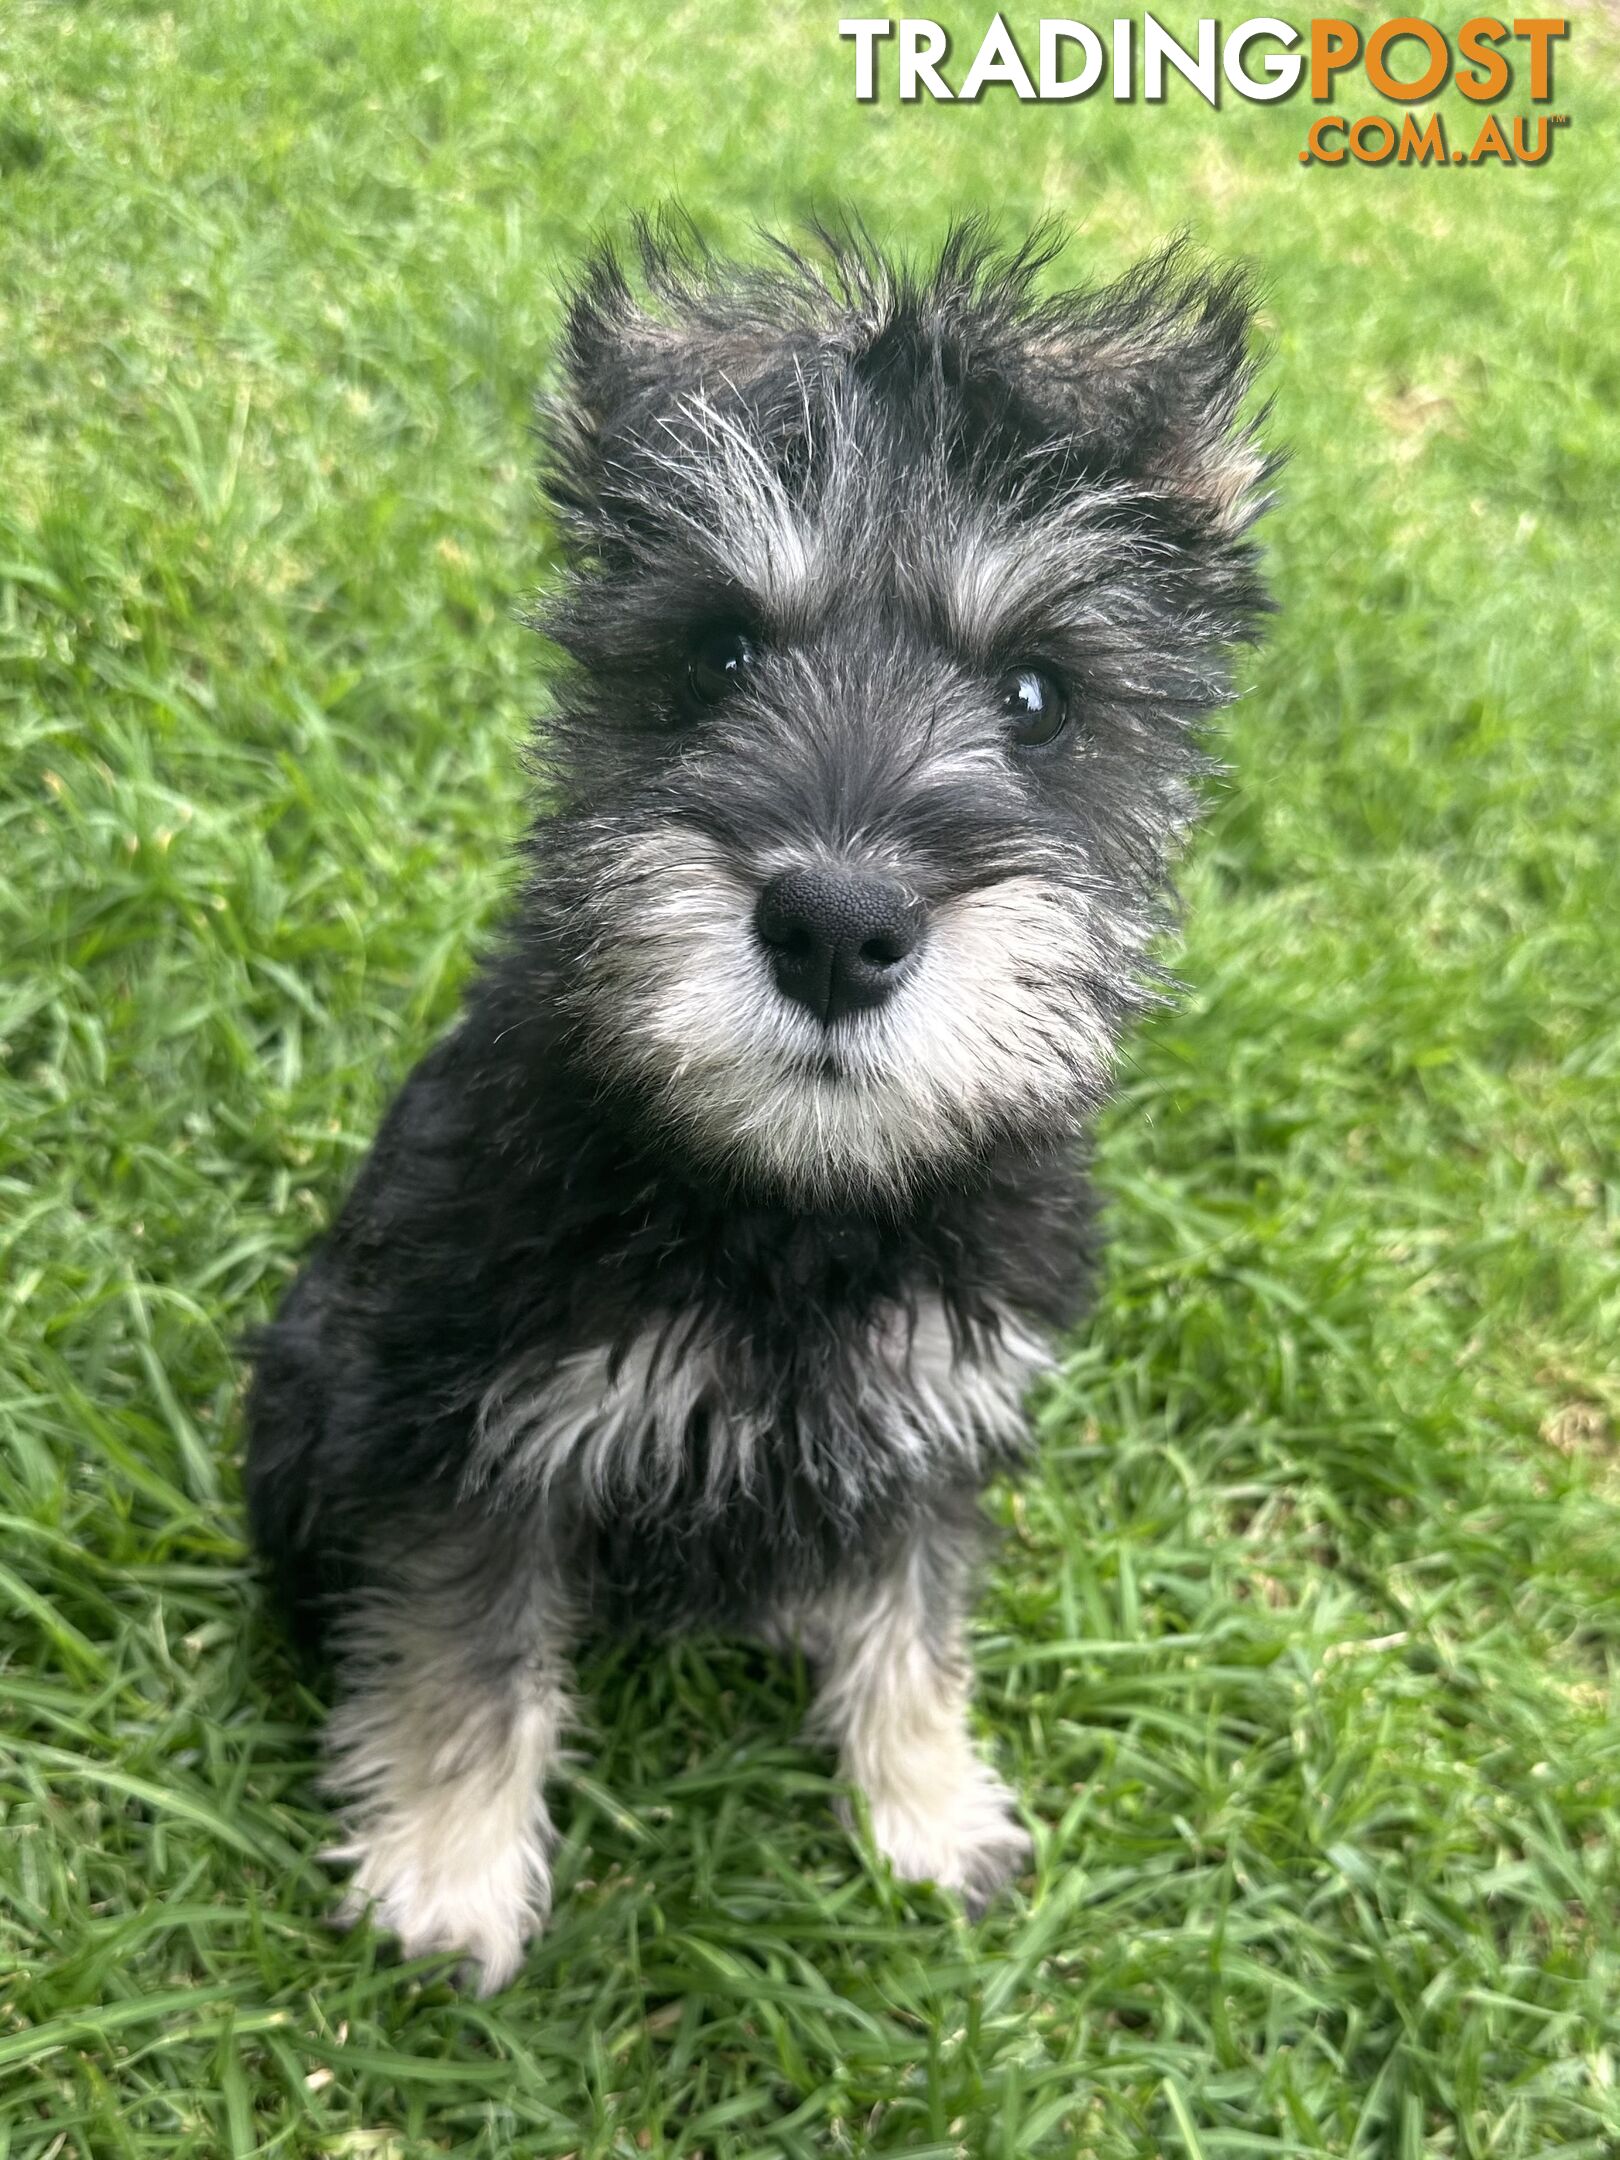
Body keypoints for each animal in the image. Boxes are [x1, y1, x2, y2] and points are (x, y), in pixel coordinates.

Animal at [247, 219, 1278, 1987]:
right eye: (717, 651)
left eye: (1037, 695)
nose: (834, 931)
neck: (798, 1212)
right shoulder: (473, 1433)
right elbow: (464, 1655)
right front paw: (448, 1874)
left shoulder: (935, 1419)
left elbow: (914, 1618)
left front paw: (929, 1808)